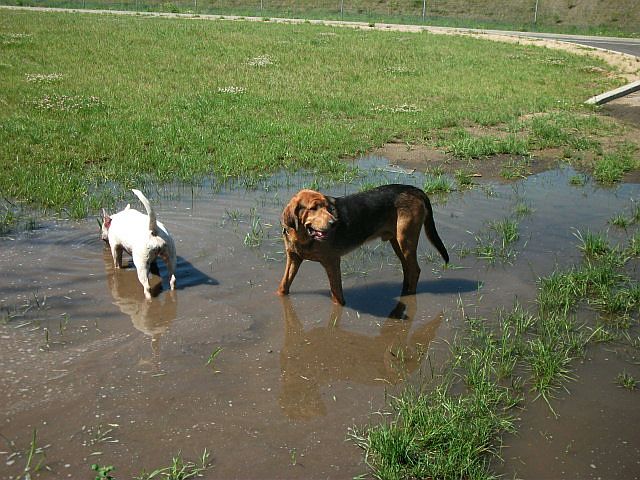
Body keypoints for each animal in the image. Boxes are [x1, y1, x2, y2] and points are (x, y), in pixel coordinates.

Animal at [276, 184, 450, 304]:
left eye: (328, 208)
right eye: (313, 208)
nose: (335, 223)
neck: (303, 237)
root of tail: (415, 189)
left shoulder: (332, 262)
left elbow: (337, 295)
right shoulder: (293, 258)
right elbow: (284, 285)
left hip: (406, 240)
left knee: (415, 270)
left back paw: (408, 296)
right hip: (397, 243)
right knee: (408, 268)